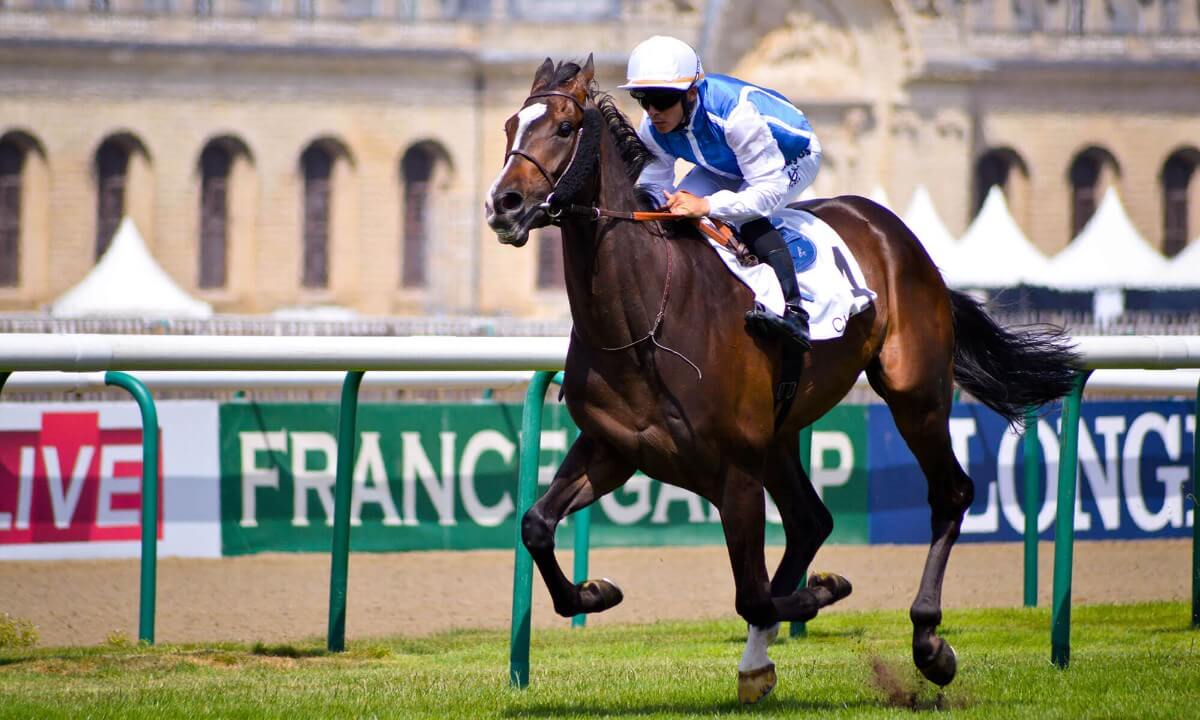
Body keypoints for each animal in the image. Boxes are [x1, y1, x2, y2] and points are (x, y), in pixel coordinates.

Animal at [484, 55, 1078, 704]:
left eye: (565, 128)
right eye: (511, 124)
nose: (503, 204)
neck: (644, 321)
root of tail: (902, 237)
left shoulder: (735, 468)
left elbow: (753, 594)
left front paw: (824, 592)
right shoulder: (613, 448)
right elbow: (536, 525)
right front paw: (595, 591)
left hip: (914, 394)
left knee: (949, 493)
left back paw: (928, 644)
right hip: (781, 431)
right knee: (809, 520)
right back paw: (758, 663)